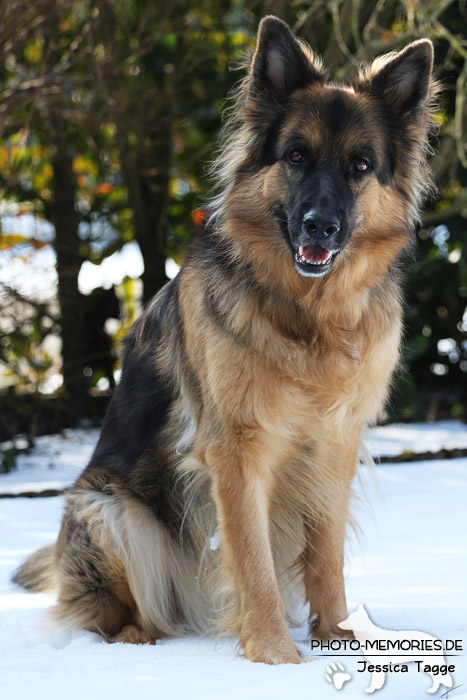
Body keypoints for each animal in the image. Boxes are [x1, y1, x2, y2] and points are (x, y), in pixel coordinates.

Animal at [14, 15, 438, 660]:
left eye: (361, 166)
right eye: (296, 156)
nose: (320, 226)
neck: (307, 317)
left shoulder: (334, 446)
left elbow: (326, 558)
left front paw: (337, 638)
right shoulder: (236, 449)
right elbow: (252, 558)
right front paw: (273, 657)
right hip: (109, 511)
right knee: (110, 612)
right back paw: (136, 640)